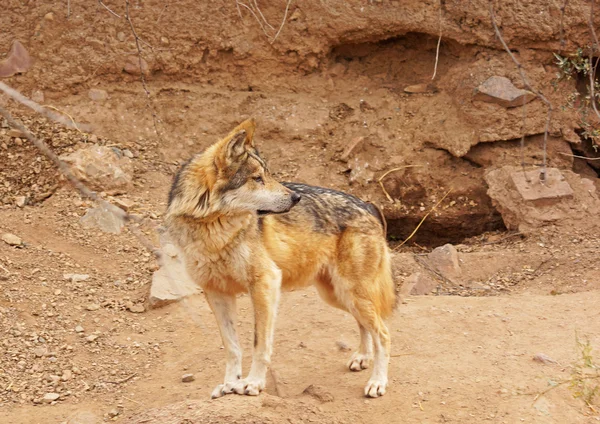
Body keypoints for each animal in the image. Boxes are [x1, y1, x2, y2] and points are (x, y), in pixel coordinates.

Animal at [166, 118, 396, 398]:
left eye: (268, 174)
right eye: (257, 179)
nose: (296, 198)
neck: (214, 232)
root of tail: (368, 205)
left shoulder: (265, 283)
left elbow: (259, 344)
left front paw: (253, 383)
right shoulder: (217, 294)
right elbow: (232, 348)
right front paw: (229, 384)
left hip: (351, 293)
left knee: (383, 333)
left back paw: (378, 382)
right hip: (338, 296)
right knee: (366, 326)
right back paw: (362, 357)